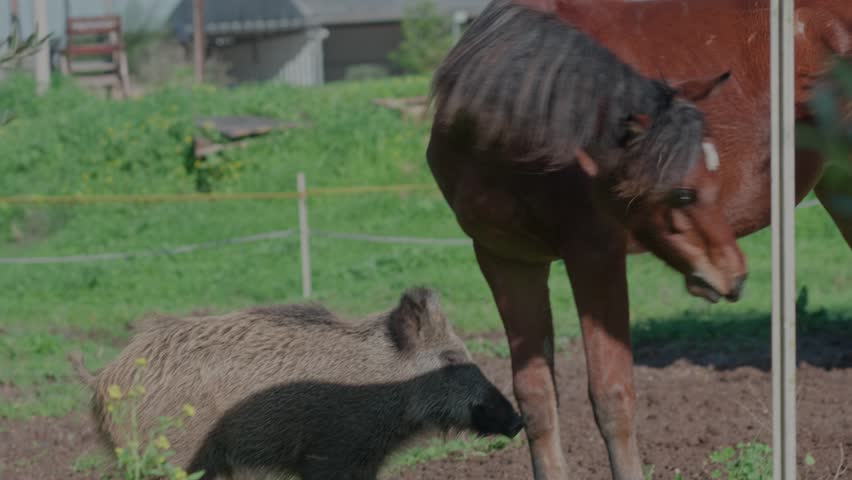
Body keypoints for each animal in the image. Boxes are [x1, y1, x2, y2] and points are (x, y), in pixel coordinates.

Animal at [425, 0, 851, 479]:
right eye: (682, 193)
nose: (736, 276)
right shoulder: (507, 262)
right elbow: (536, 398)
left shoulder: (596, 257)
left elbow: (612, 395)